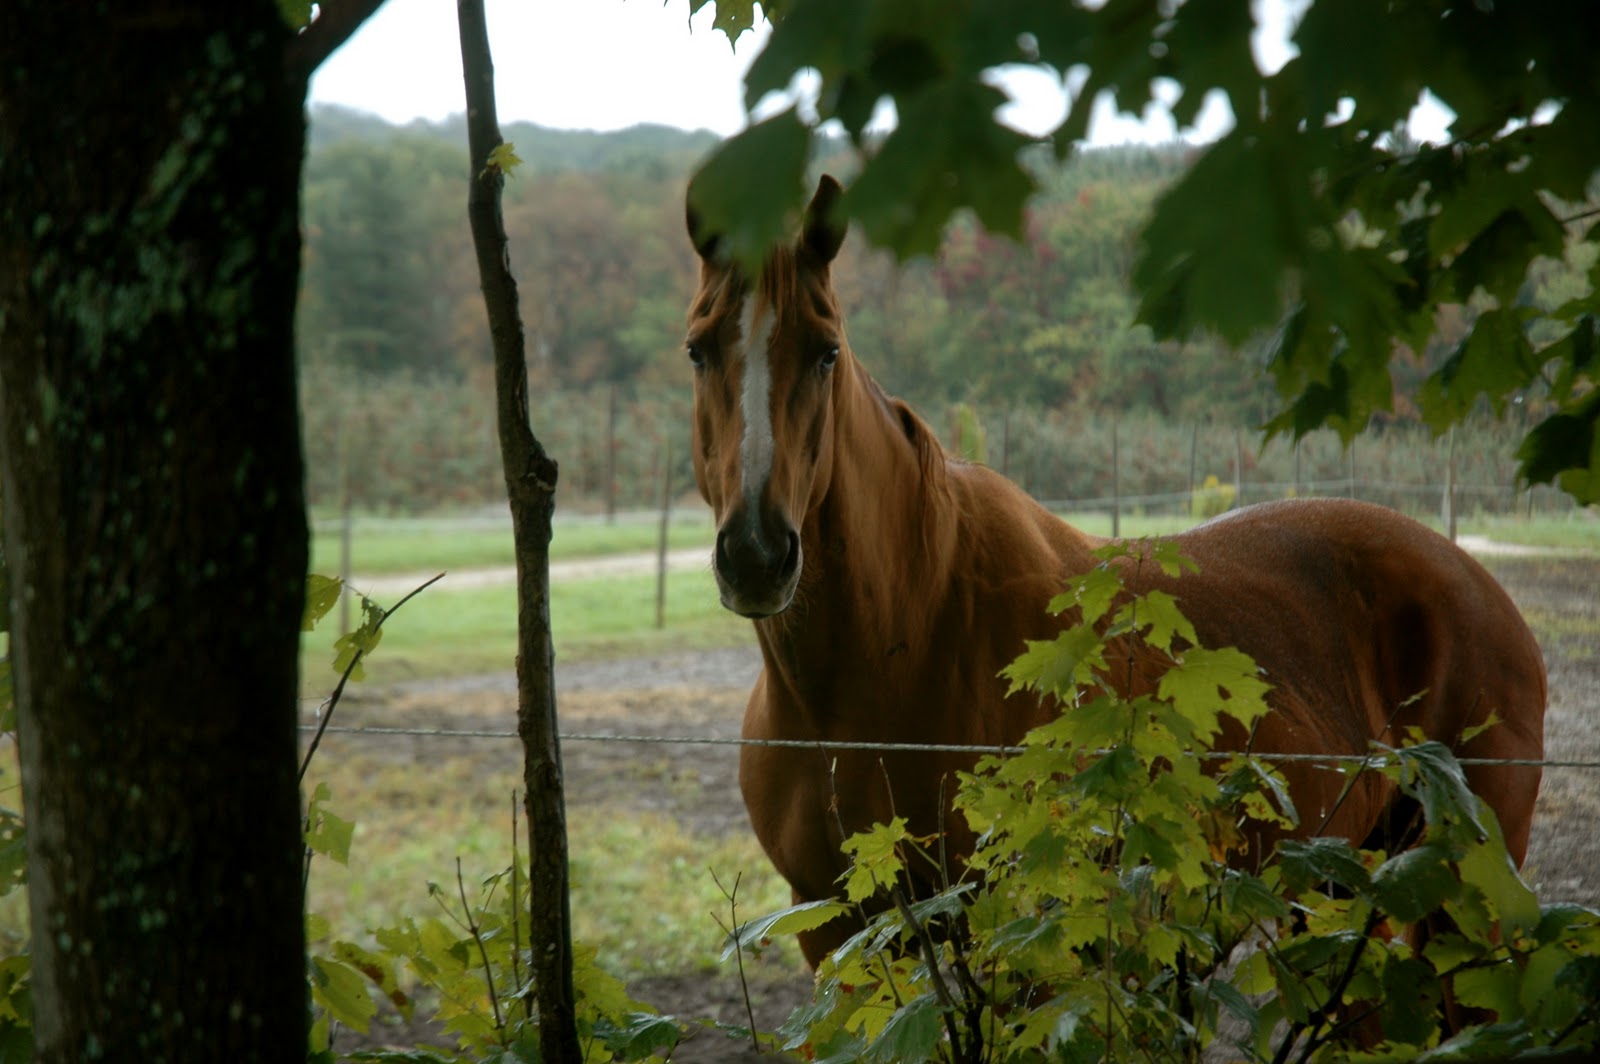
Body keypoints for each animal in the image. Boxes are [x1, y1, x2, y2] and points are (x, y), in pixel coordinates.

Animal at [681, 172, 1542, 960]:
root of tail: (1478, 584)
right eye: (697, 349)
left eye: (826, 351)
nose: (756, 554)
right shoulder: (838, 933)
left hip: (1457, 905)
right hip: (1336, 892)